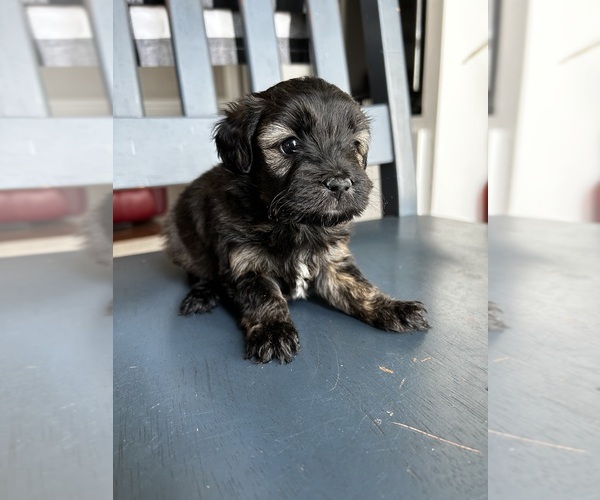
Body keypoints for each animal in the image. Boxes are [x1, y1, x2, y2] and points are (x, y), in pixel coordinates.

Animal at [162, 78, 428, 366]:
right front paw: (273, 331)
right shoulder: (245, 264)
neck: (296, 223)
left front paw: (393, 308)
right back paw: (203, 294)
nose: (340, 183)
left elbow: (359, 287)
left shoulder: (333, 261)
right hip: (181, 240)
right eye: (289, 145)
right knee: (197, 271)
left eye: (354, 145)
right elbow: (264, 297)